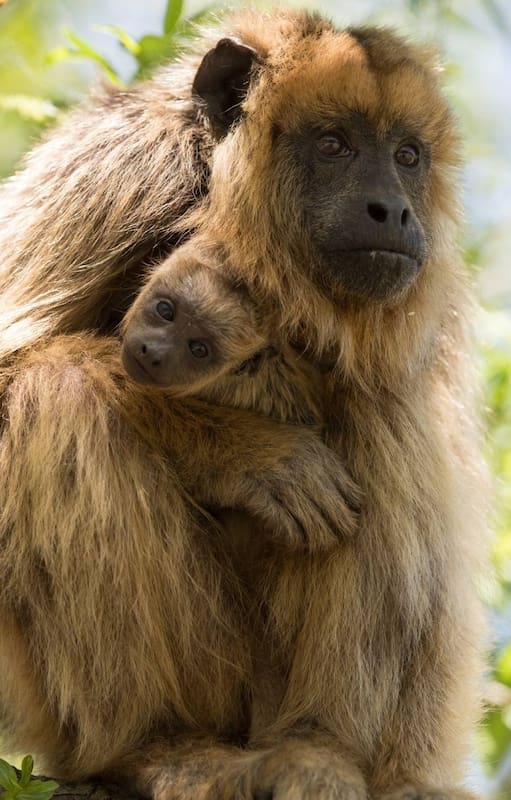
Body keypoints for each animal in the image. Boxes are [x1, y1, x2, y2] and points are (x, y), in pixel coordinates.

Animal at [0, 8, 487, 800]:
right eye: (333, 144)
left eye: (407, 154)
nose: (392, 209)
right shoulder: (121, 169)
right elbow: (15, 372)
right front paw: (250, 453)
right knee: (60, 395)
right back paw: (158, 744)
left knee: (384, 408)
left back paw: (320, 747)